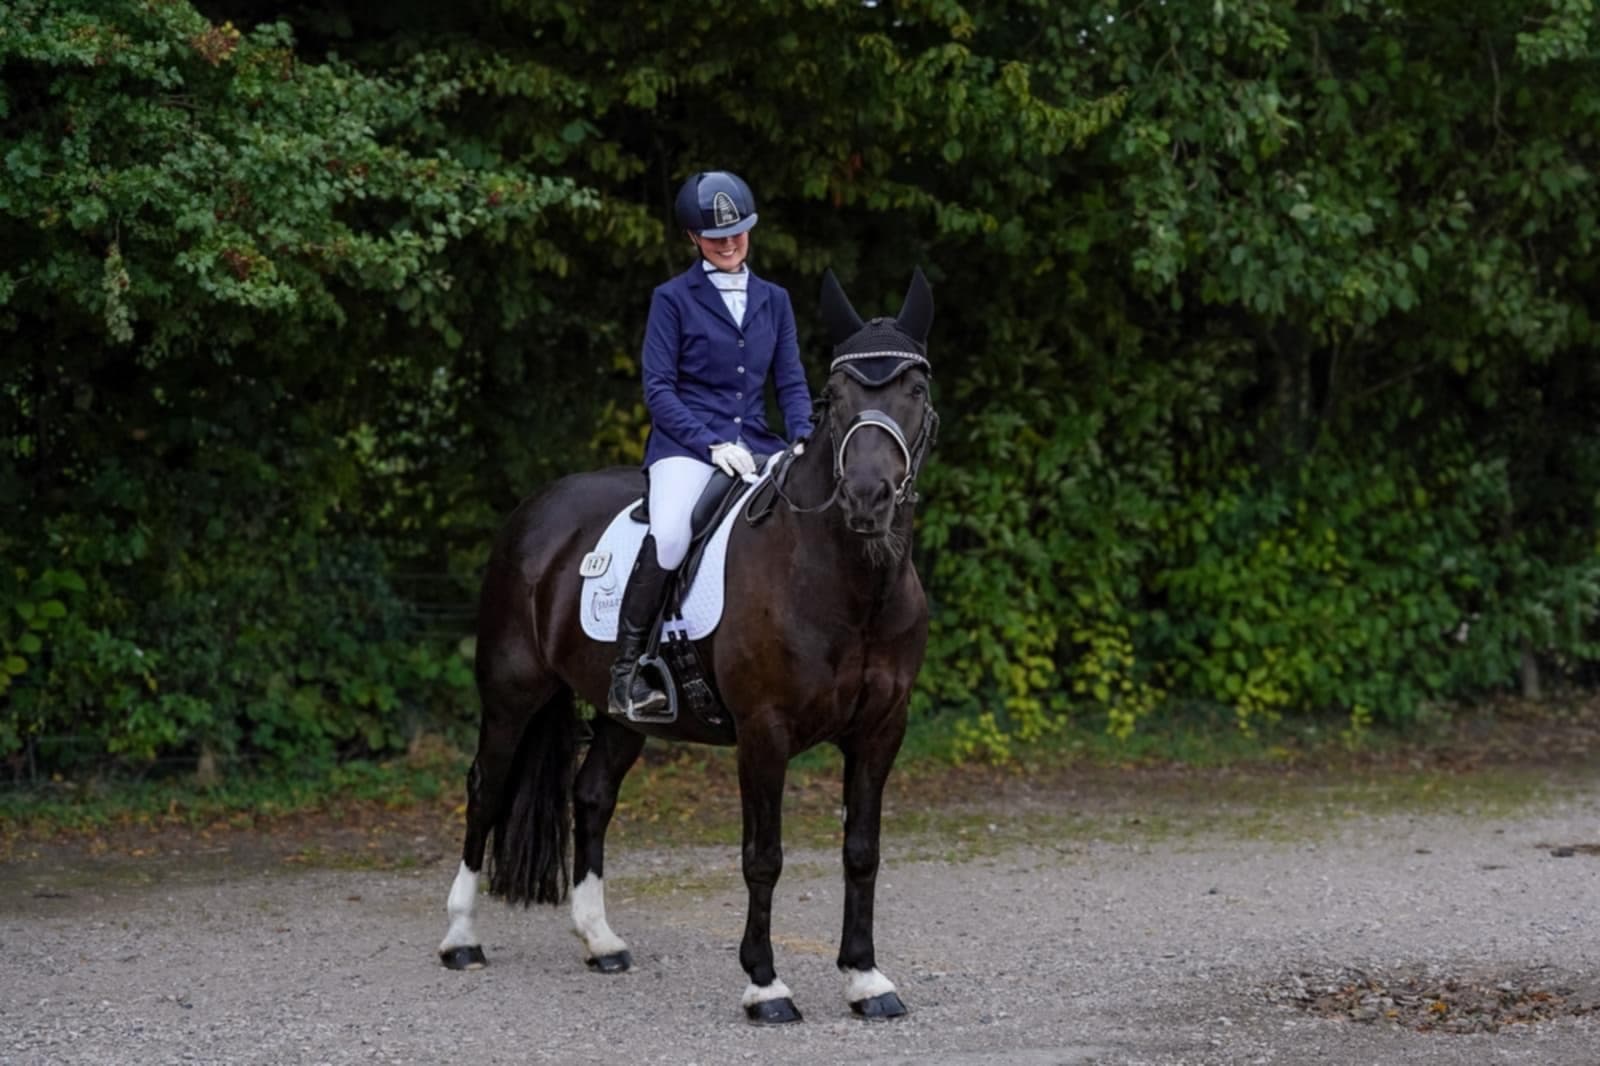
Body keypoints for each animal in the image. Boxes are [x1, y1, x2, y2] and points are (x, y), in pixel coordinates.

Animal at [436, 268, 939, 1024]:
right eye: (837, 397)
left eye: (915, 390)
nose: (867, 499)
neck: (845, 581)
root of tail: (537, 510)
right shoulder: (764, 731)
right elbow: (763, 856)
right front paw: (765, 986)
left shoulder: (882, 729)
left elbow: (861, 851)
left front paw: (866, 979)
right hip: (511, 693)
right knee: (486, 789)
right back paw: (461, 938)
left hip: (620, 713)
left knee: (591, 795)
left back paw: (601, 942)